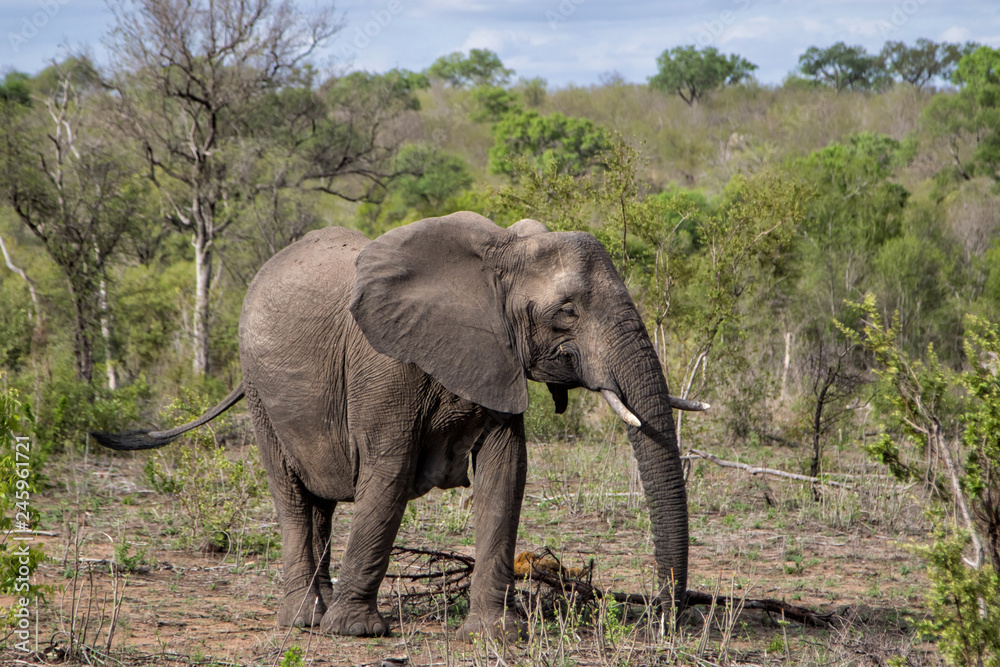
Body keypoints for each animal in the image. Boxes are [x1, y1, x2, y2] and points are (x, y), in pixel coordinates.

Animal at [95, 214, 704, 640]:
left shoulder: (497, 357)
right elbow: (387, 476)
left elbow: (507, 473)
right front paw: (357, 633)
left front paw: (496, 636)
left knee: (319, 503)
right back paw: (305, 621)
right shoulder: (384, 367)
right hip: (260, 390)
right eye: (566, 313)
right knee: (292, 495)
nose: (669, 618)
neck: (495, 255)